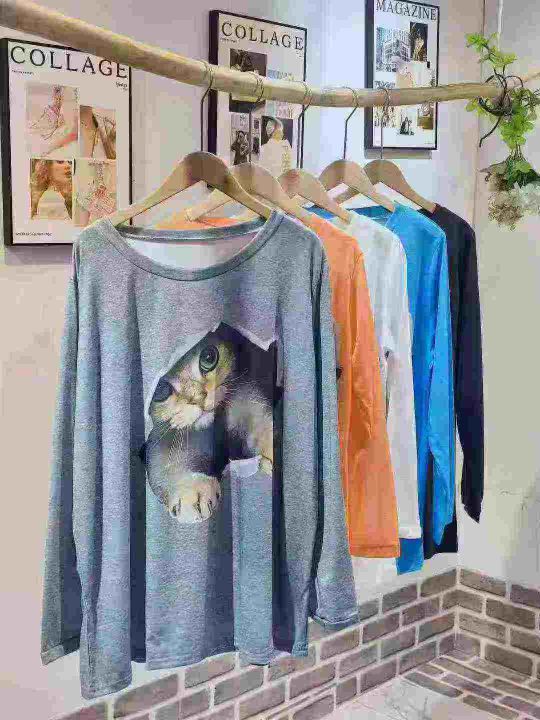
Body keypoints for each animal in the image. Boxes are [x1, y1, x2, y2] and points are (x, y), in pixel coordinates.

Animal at [141, 323, 276, 524]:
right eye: (160, 389)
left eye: (208, 357)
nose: (199, 398)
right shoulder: (160, 446)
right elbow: (167, 467)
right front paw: (192, 492)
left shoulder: (251, 407)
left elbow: (265, 429)